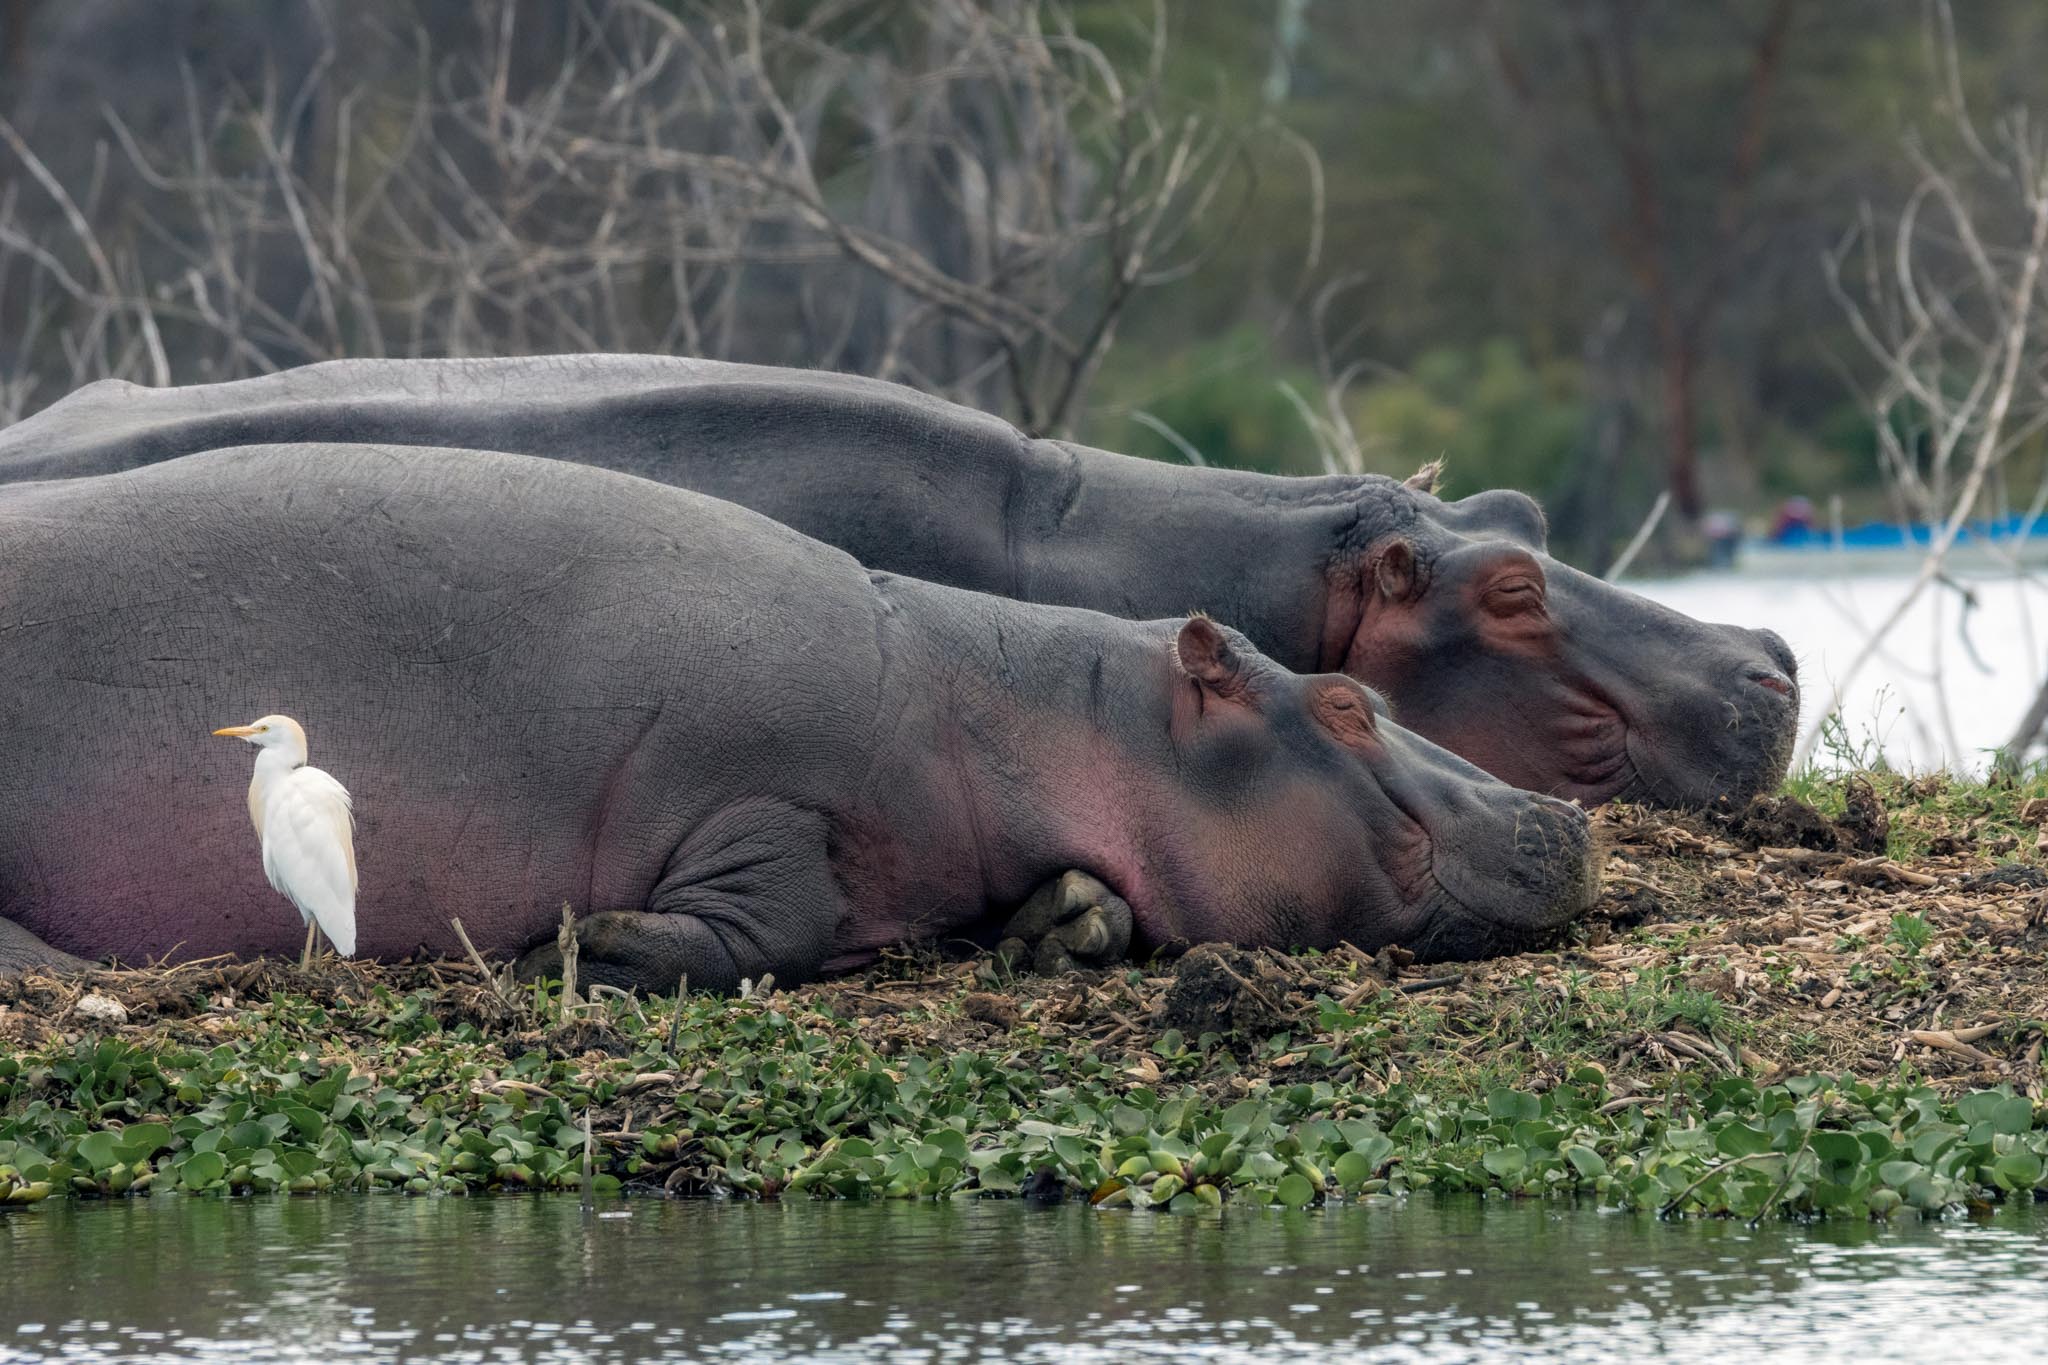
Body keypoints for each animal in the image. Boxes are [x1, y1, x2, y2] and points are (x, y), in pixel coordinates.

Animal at [0, 444, 1598, 988]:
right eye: (1343, 702)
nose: (1562, 819)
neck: (998, 706)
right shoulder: (759, 795)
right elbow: (772, 914)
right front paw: (586, 940)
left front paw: (1066, 921)